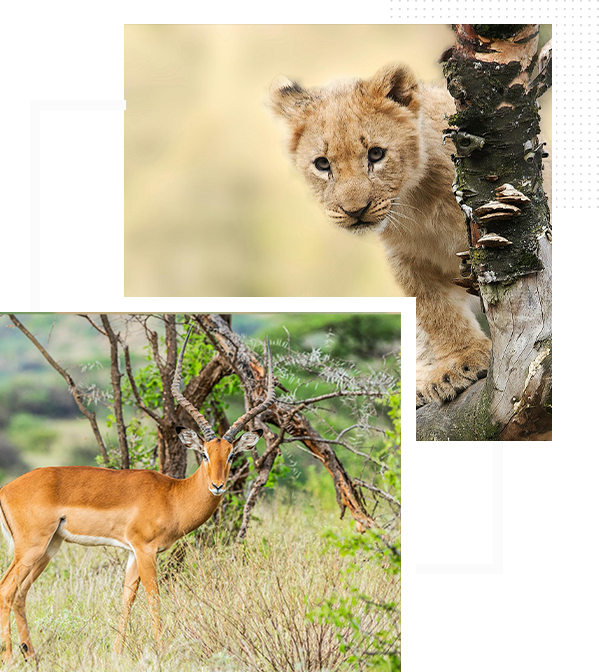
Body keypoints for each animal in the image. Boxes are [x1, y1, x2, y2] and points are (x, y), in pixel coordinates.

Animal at [0, 330, 275, 662]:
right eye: (204, 454)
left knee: (20, 593)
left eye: (232, 455)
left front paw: (117, 652)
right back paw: (10, 657)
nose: (218, 486)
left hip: (48, 548)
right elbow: (153, 596)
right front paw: (160, 648)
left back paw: (31, 655)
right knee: (6, 589)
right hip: (31, 548)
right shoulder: (146, 550)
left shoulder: (132, 552)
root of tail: (5, 489)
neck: (172, 495)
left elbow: (127, 596)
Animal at [269, 63, 494, 407]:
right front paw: (460, 361)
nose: (354, 211)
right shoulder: (407, 260)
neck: (417, 203)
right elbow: (435, 312)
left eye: (376, 154)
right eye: (322, 164)